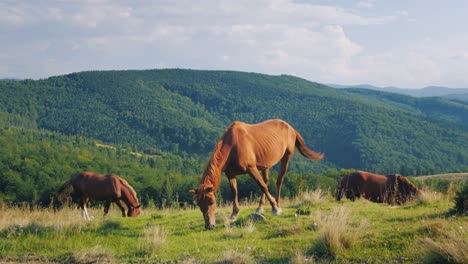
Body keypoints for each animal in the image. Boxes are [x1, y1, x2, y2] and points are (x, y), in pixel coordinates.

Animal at [188, 119, 324, 229]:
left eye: (212, 202)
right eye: (199, 204)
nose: (209, 226)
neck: (232, 146)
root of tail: (290, 128)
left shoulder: (251, 168)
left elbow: (261, 185)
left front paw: (275, 208)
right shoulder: (230, 174)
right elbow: (234, 192)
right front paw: (234, 214)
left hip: (286, 157)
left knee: (279, 180)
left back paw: (278, 204)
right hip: (266, 163)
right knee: (267, 180)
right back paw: (260, 207)